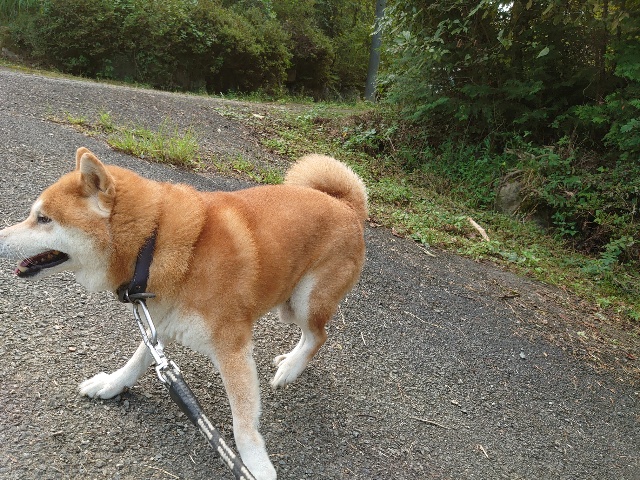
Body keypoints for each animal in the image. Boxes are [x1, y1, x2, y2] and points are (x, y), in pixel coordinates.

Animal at [0, 147, 367, 480]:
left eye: (43, 219)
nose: (0, 237)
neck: (154, 242)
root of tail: (348, 206)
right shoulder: (159, 321)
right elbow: (138, 361)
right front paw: (113, 384)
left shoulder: (232, 348)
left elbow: (242, 425)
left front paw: (257, 467)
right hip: (288, 303)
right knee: (312, 335)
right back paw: (289, 361)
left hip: (303, 301)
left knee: (319, 335)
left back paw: (290, 368)